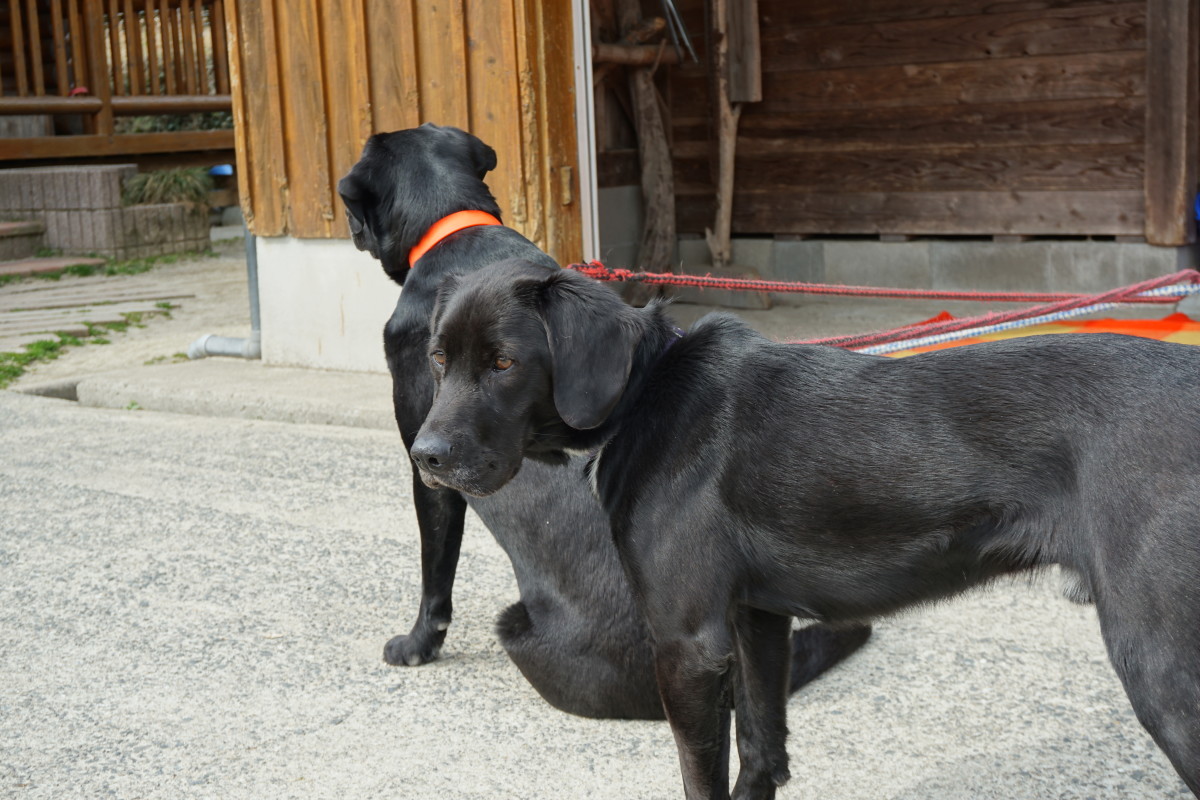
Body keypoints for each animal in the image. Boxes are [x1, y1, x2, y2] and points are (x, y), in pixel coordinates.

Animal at [338, 123, 873, 719]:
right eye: (438, 357)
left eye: (502, 364)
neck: (455, 226)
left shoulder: (429, 472)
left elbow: (436, 574)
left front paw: (415, 646)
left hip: (520, 626)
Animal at [415, 260, 1200, 796]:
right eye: (438, 359)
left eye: (505, 362)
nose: (425, 457)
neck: (646, 390)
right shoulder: (757, 619)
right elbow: (762, 752)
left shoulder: (685, 644)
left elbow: (701, 776)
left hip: (1159, 664)